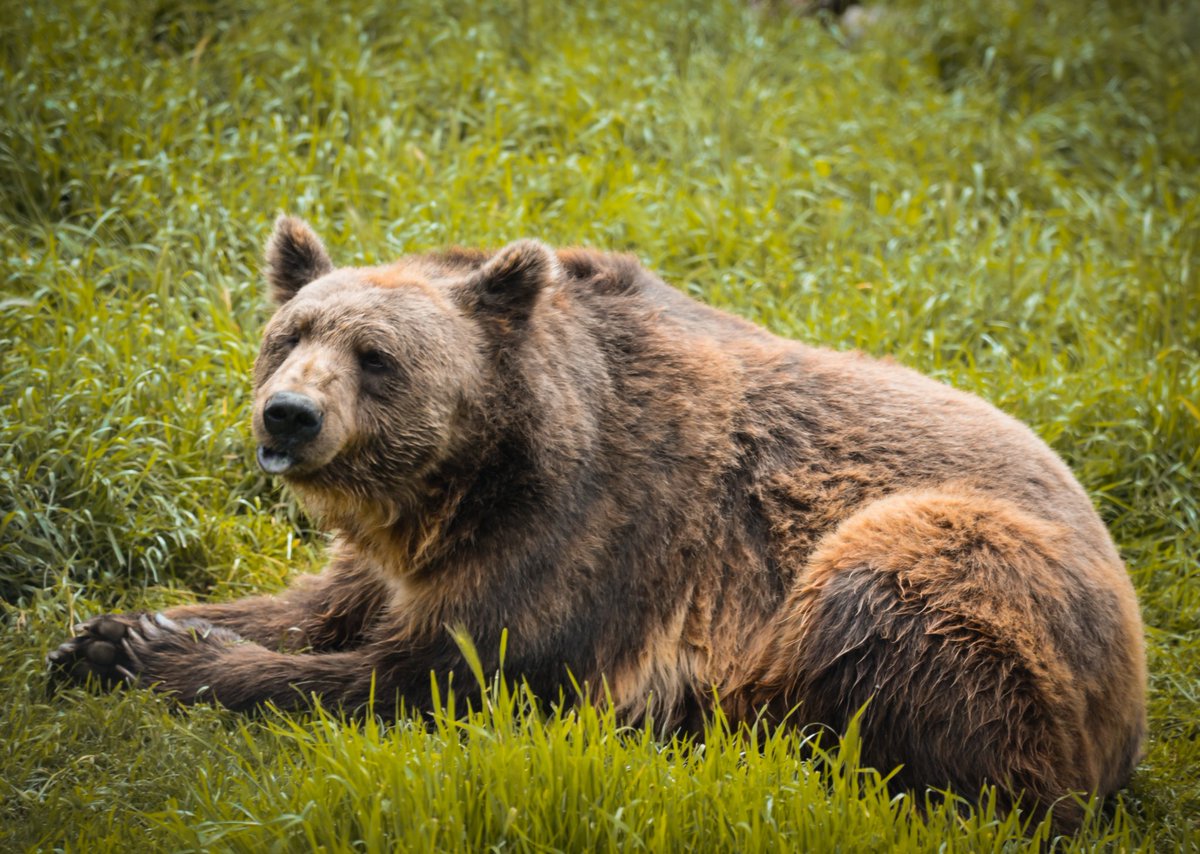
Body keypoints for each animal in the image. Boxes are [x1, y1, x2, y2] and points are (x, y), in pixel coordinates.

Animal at [49, 216, 1146, 830]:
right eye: (289, 334)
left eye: (378, 356)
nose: (288, 416)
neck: (468, 483)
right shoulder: (401, 552)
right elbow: (317, 603)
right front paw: (106, 630)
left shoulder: (595, 540)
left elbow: (430, 674)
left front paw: (164, 657)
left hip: (964, 572)